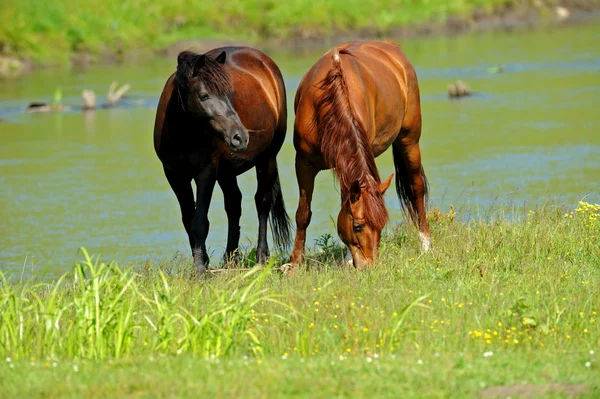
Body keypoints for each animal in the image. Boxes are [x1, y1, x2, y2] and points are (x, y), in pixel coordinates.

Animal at [154, 46, 292, 272]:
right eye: (203, 95)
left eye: (229, 94)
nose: (240, 137)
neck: (184, 133)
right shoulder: (174, 175)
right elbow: (188, 219)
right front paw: (203, 261)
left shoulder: (206, 173)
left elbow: (200, 223)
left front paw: (200, 269)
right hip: (227, 172)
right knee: (234, 205)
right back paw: (230, 258)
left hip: (267, 158)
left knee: (262, 202)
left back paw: (261, 257)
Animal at [290, 40, 432, 270]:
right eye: (357, 226)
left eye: (382, 225)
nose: (370, 266)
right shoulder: (303, 162)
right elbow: (303, 213)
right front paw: (294, 264)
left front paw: (348, 259)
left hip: (409, 139)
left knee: (416, 187)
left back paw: (426, 244)